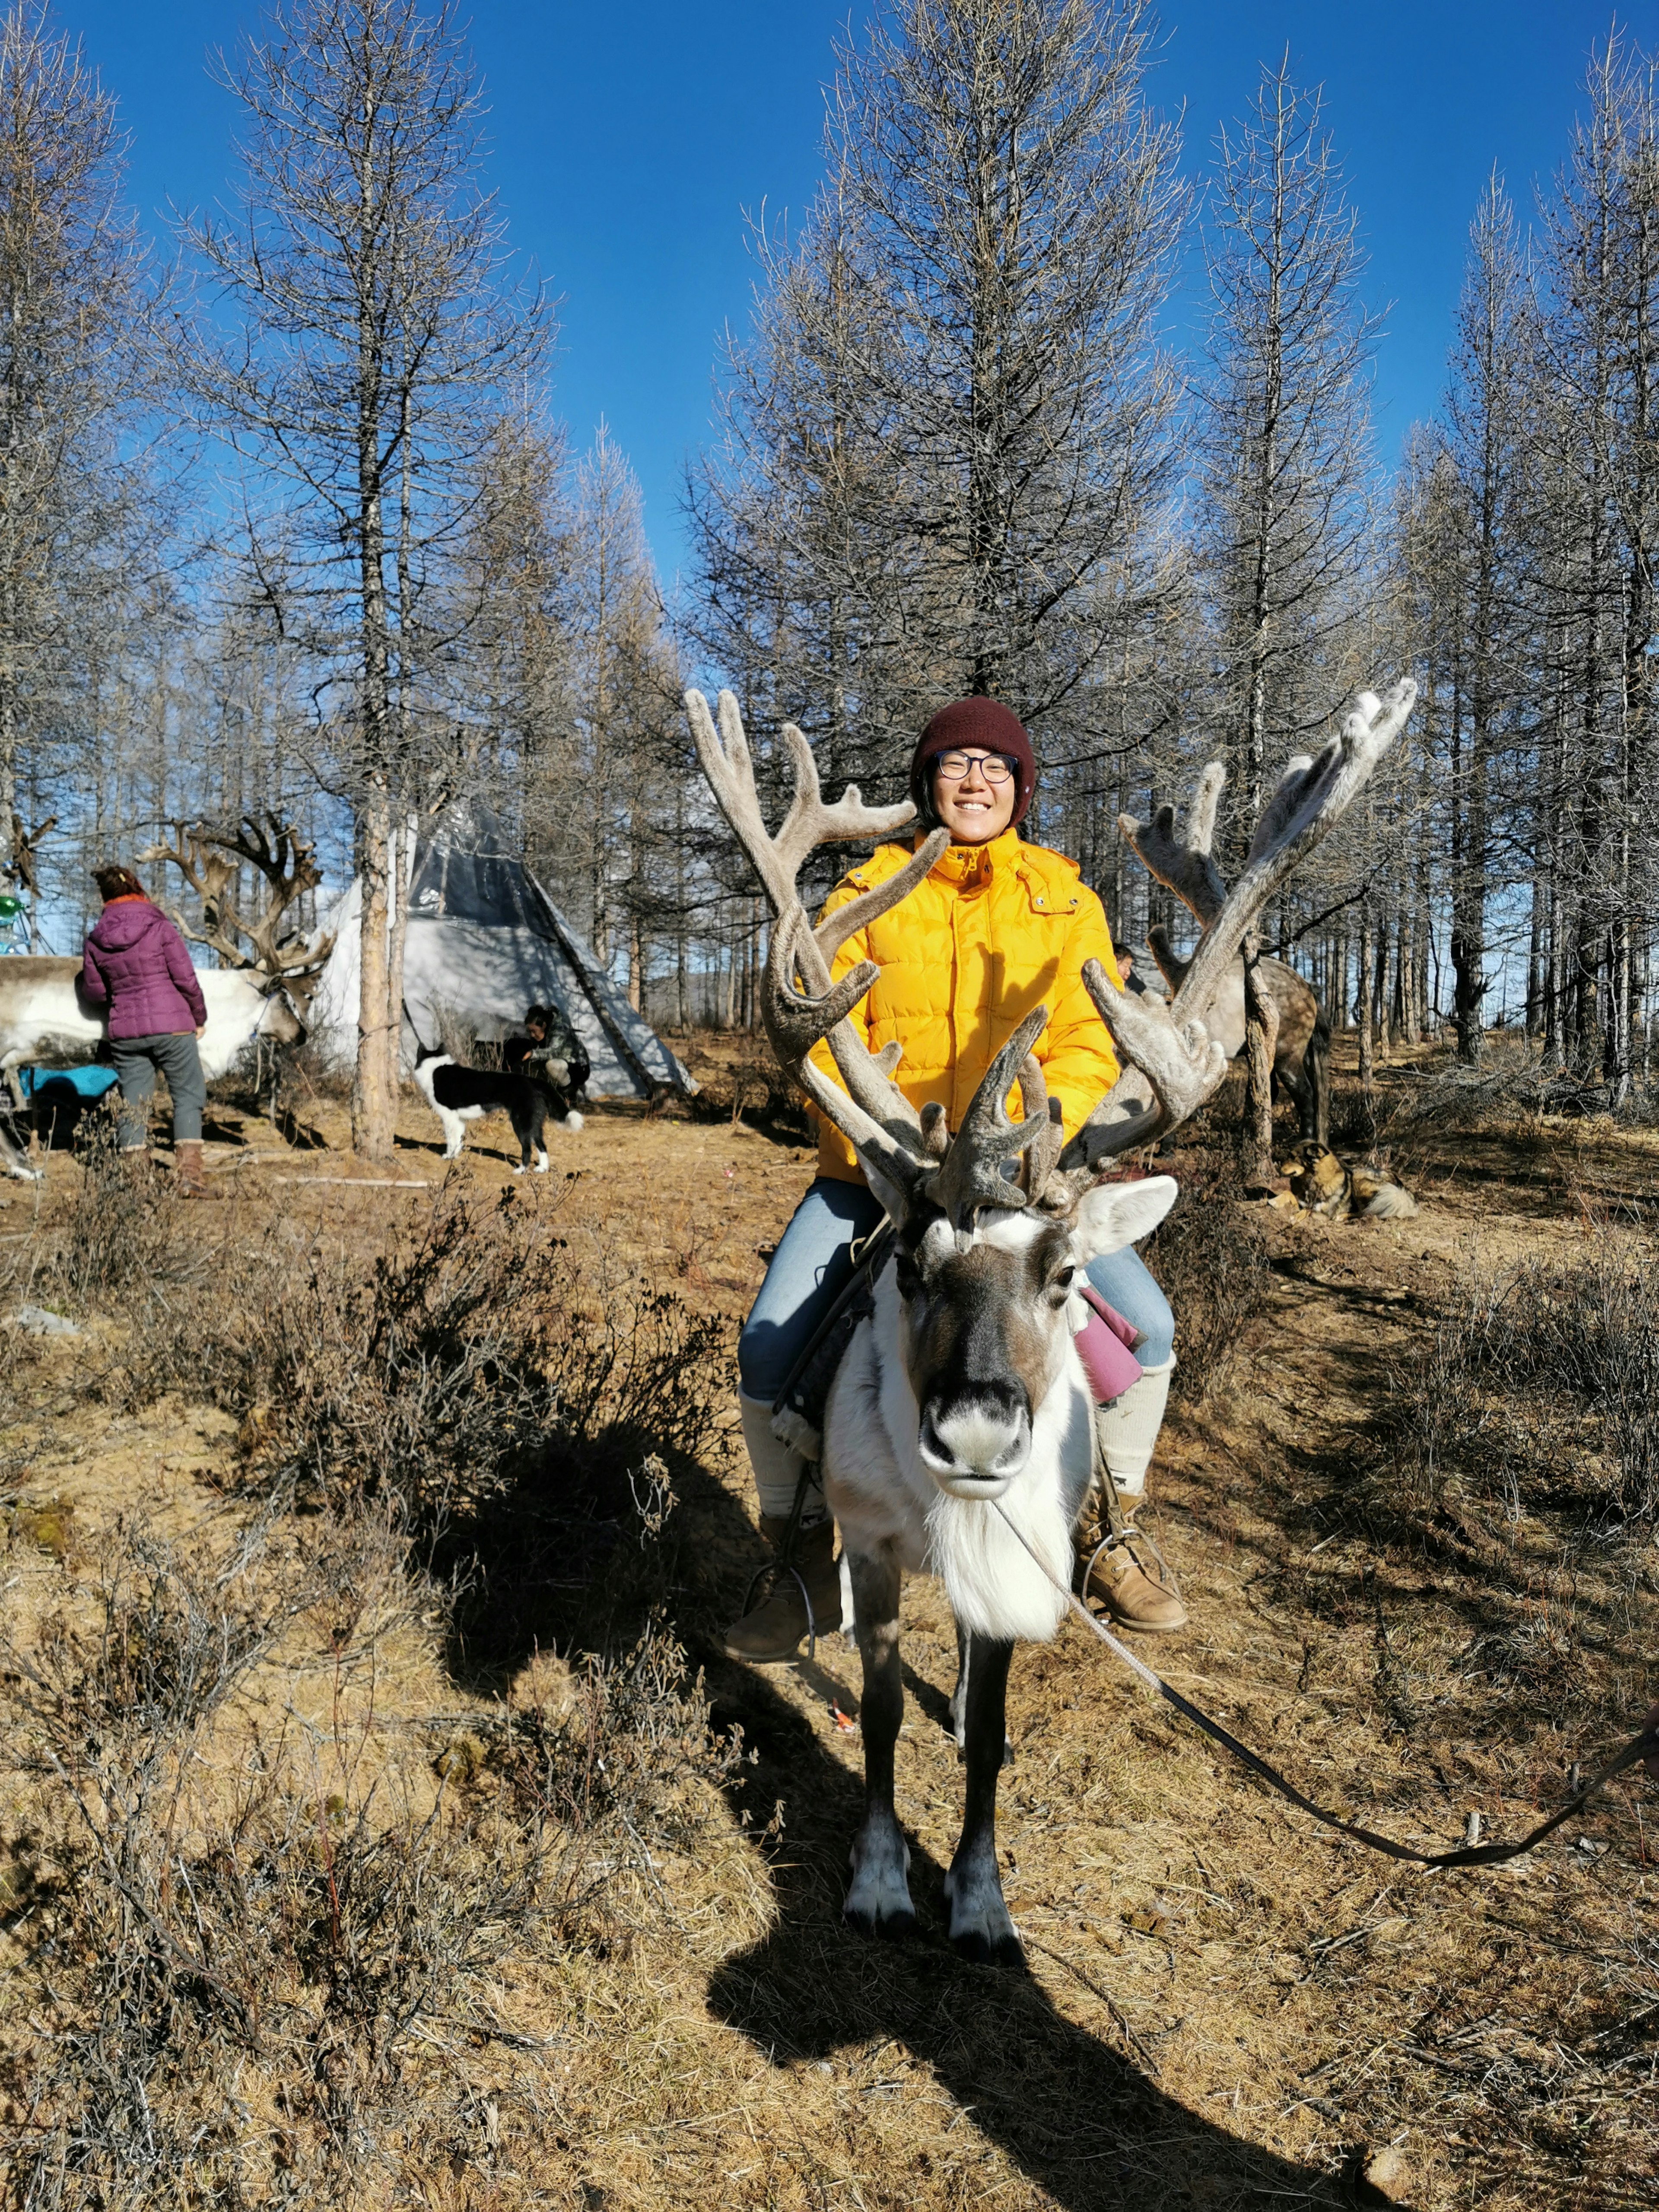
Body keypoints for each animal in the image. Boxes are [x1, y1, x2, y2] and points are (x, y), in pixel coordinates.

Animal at [413, 1039, 584, 1168]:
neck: (434, 1066)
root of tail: (533, 1081)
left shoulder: (449, 1118)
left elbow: (450, 1140)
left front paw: (448, 1156)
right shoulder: (458, 1120)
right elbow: (458, 1140)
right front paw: (455, 1156)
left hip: (521, 1123)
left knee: (527, 1149)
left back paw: (521, 1171)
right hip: (534, 1123)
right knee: (542, 1146)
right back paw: (541, 1169)